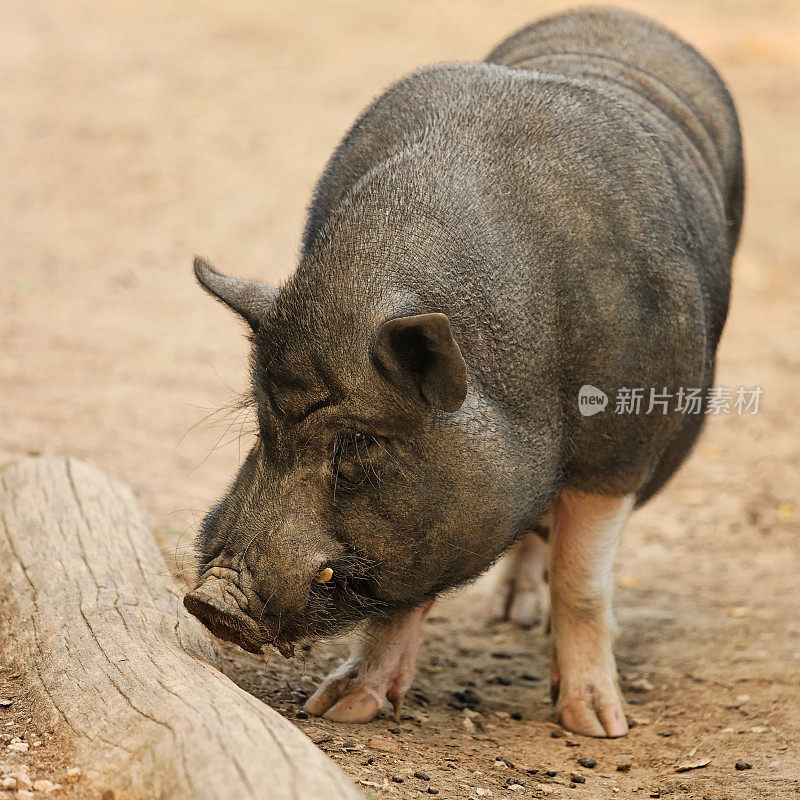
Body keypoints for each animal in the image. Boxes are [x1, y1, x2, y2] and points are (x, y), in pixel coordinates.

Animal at [183, 7, 744, 744]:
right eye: (261, 421)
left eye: (359, 443)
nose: (211, 601)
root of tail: (616, 16)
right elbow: (404, 592)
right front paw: (337, 708)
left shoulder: (621, 447)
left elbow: (582, 580)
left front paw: (596, 726)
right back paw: (507, 614)